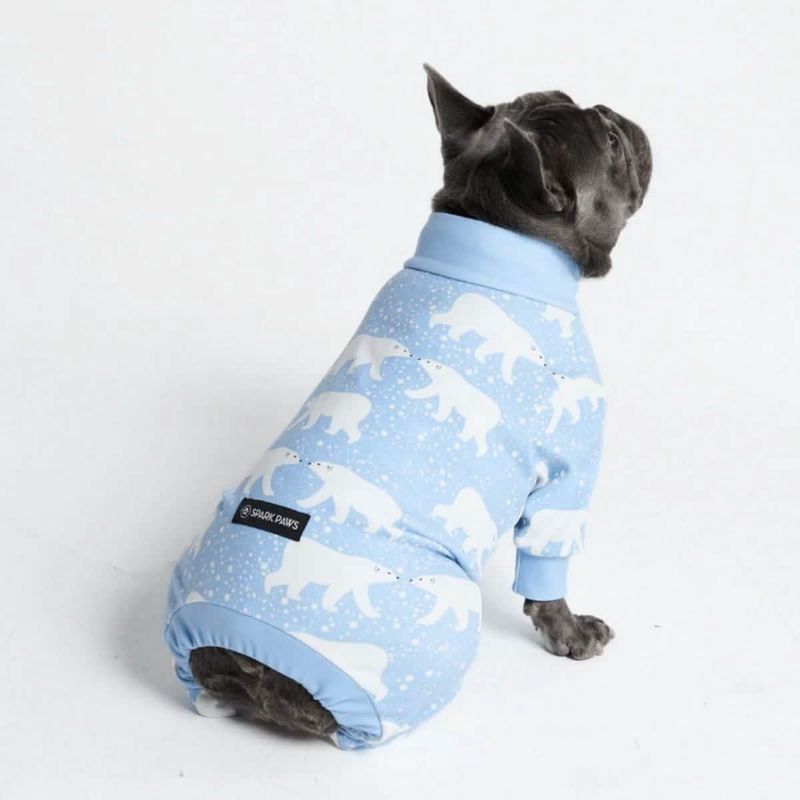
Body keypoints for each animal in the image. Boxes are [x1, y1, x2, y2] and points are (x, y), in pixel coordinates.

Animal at [263, 537, 398, 618]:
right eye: (389, 572)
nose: (397, 577)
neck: (362, 568)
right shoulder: (350, 576)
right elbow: (336, 590)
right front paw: (331, 607)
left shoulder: (359, 582)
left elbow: (360, 596)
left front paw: (374, 612)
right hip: (303, 562)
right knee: (291, 576)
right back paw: (269, 586)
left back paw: (292, 595)